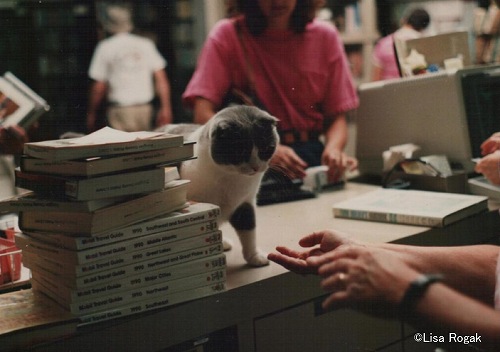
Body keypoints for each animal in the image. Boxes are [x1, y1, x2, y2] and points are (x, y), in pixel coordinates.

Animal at [162, 106, 280, 266]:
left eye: (266, 148)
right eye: (240, 151)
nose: (256, 167)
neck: (232, 178)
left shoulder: (245, 202)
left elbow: (249, 231)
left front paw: (255, 257)